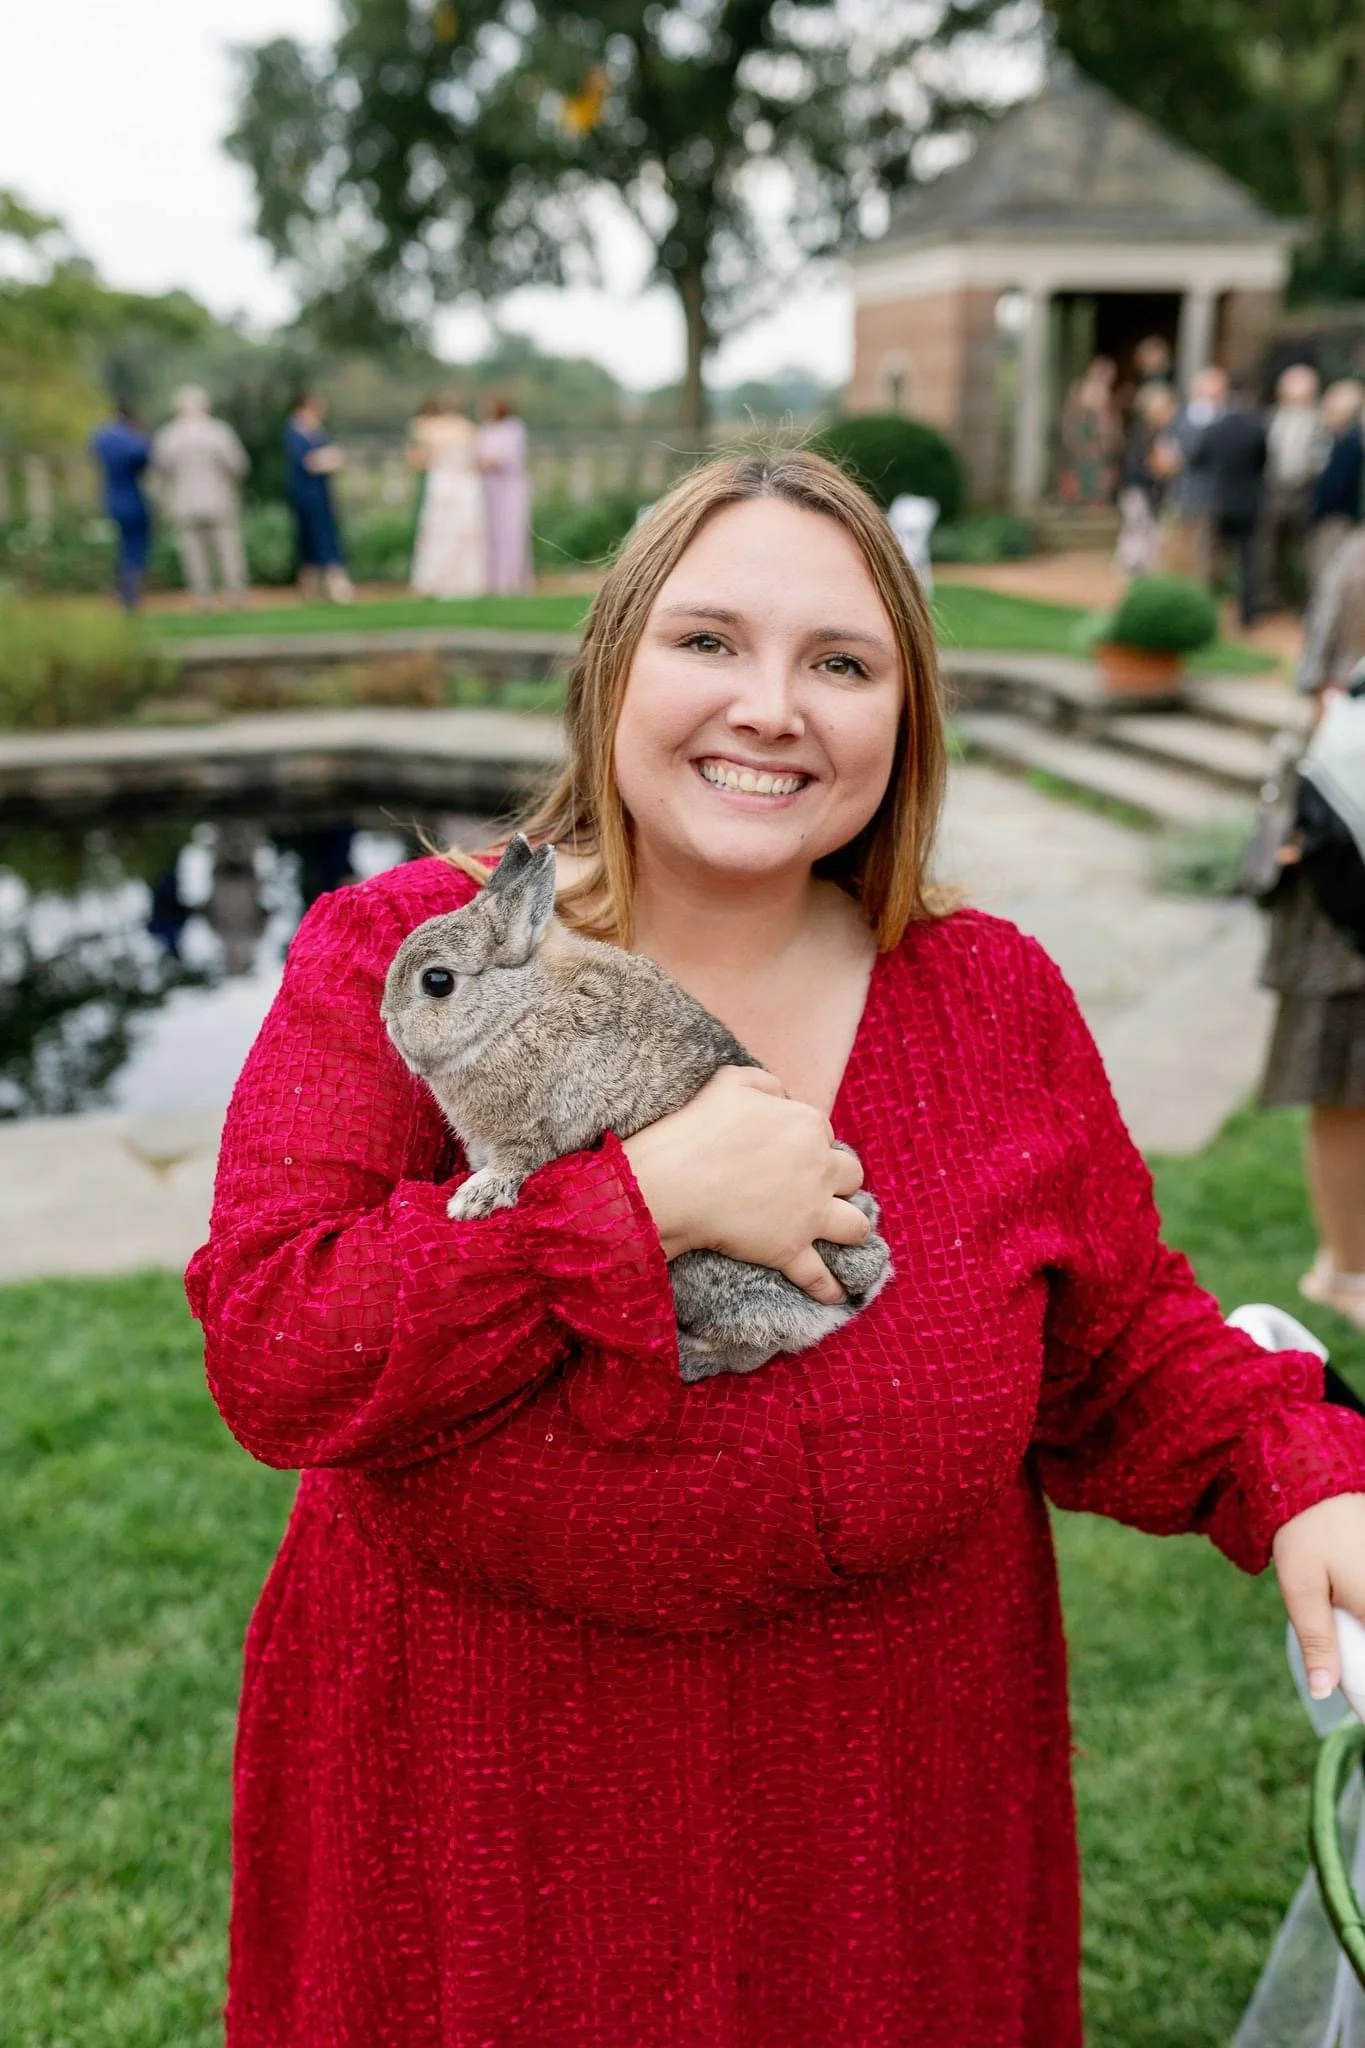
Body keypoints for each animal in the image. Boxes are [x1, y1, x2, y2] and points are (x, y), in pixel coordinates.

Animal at [380, 835, 892, 1382]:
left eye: (436, 982)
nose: (385, 1019)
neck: (514, 1010)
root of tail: (849, 1299)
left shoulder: (537, 1133)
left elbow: (517, 1164)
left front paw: (471, 1201)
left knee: (754, 1344)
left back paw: (687, 1360)